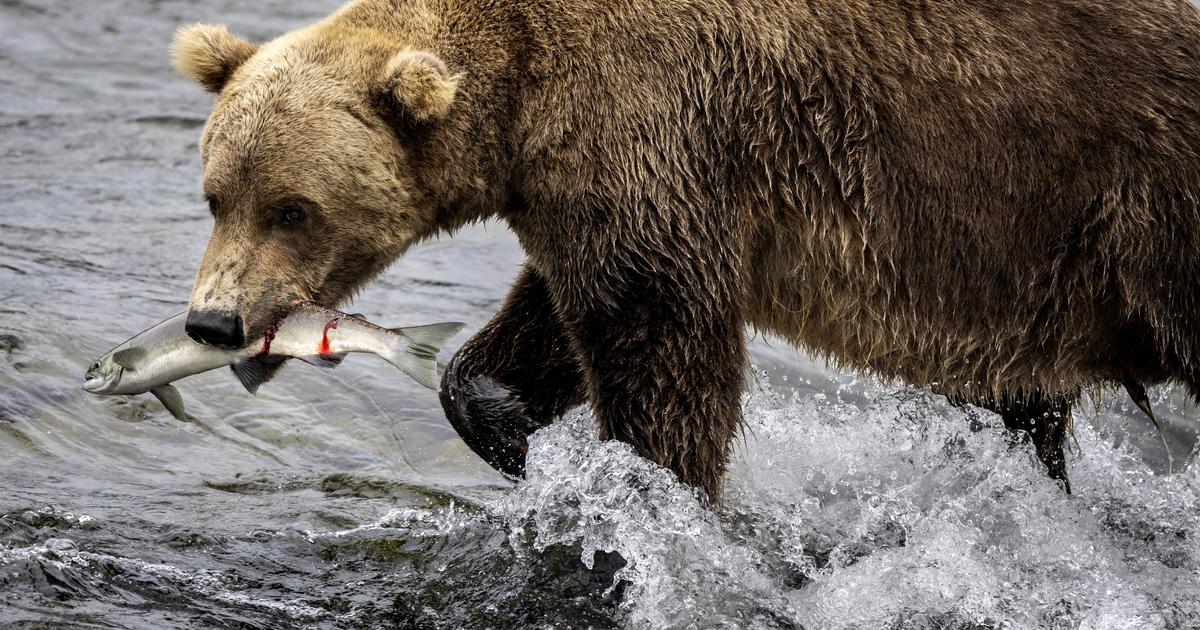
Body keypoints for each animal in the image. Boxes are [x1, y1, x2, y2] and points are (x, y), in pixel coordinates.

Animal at [172, 0, 1200, 501]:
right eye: (216, 194)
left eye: (294, 208)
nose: (213, 320)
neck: (523, 94)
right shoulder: (593, 184)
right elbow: (551, 322)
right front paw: (509, 426)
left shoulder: (665, 121)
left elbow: (663, 344)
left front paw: (661, 491)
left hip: (1133, 199)